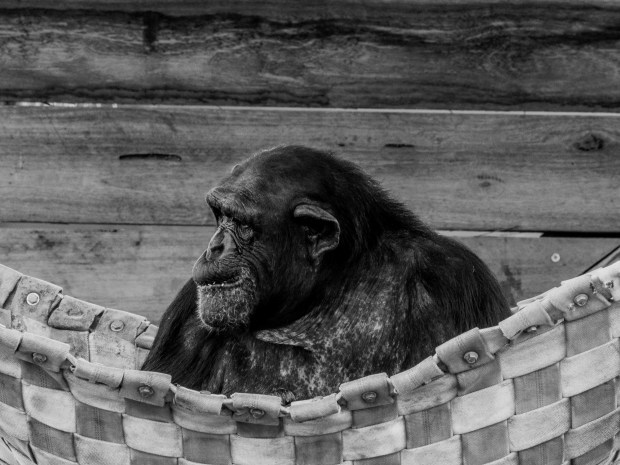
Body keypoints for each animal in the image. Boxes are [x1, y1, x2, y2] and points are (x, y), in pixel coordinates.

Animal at [142, 145, 510, 402]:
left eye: (242, 225)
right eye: (220, 216)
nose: (215, 246)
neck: (323, 292)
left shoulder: (454, 279)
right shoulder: (187, 320)